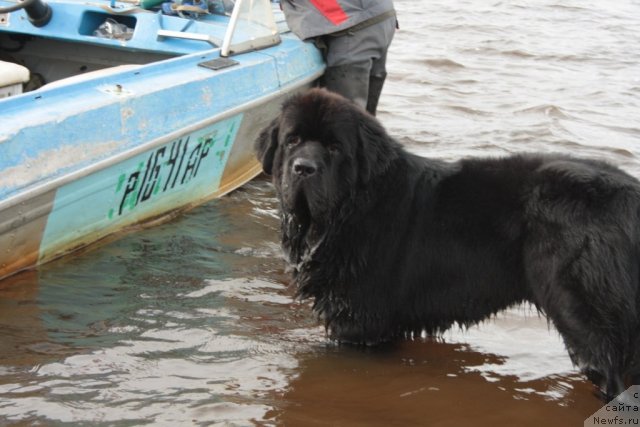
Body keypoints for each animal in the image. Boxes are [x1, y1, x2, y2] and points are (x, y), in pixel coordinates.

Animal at [255, 88, 640, 402]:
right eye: (292, 140)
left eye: (335, 147)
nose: (303, 168)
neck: (352, 208)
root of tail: (630, 193)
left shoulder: (358, 320)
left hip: (582, 312)